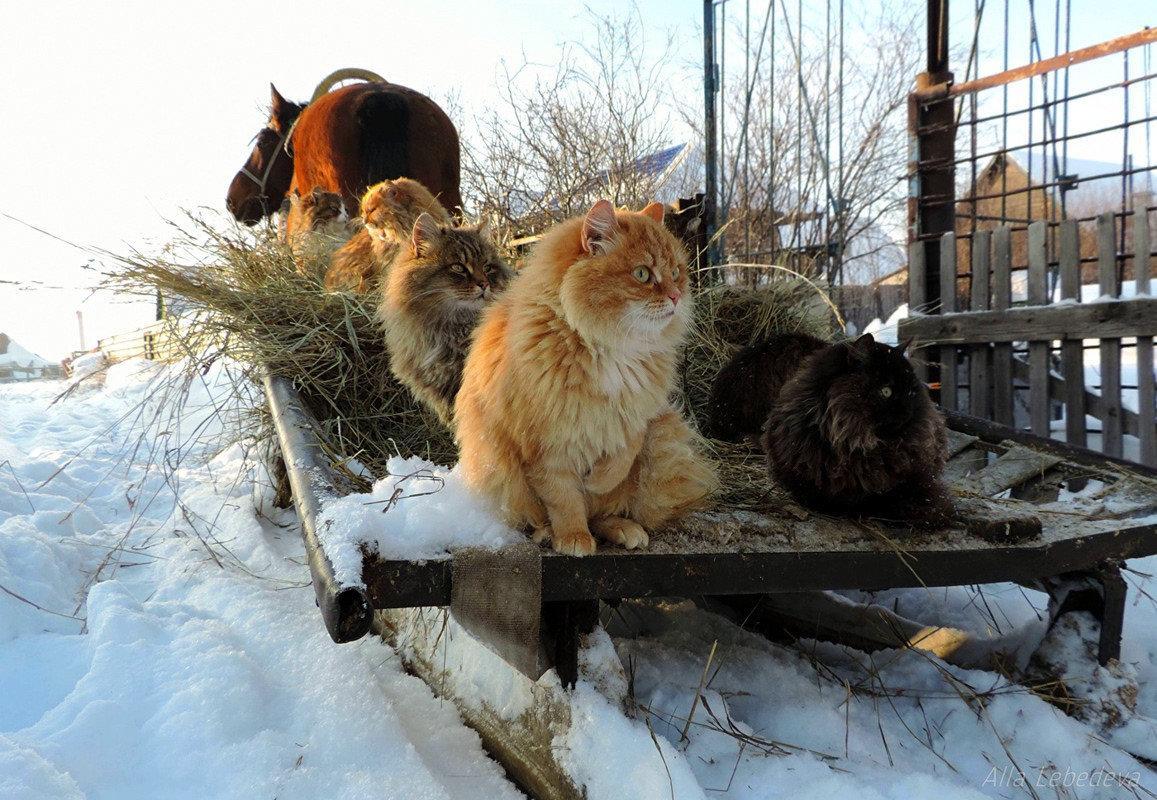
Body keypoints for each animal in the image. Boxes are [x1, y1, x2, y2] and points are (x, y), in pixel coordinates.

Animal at [453, 199, 717, 558]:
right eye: (642, 274)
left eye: (676, 273)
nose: (676, 296)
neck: (610, 347)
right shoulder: (548, 446)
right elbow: (565, 500)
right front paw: (573, 538)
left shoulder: (638, 418)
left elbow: (619, 462)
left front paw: (597, 481)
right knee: (543, 516)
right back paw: (548, 533)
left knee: (605, 513)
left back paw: (624, 529)